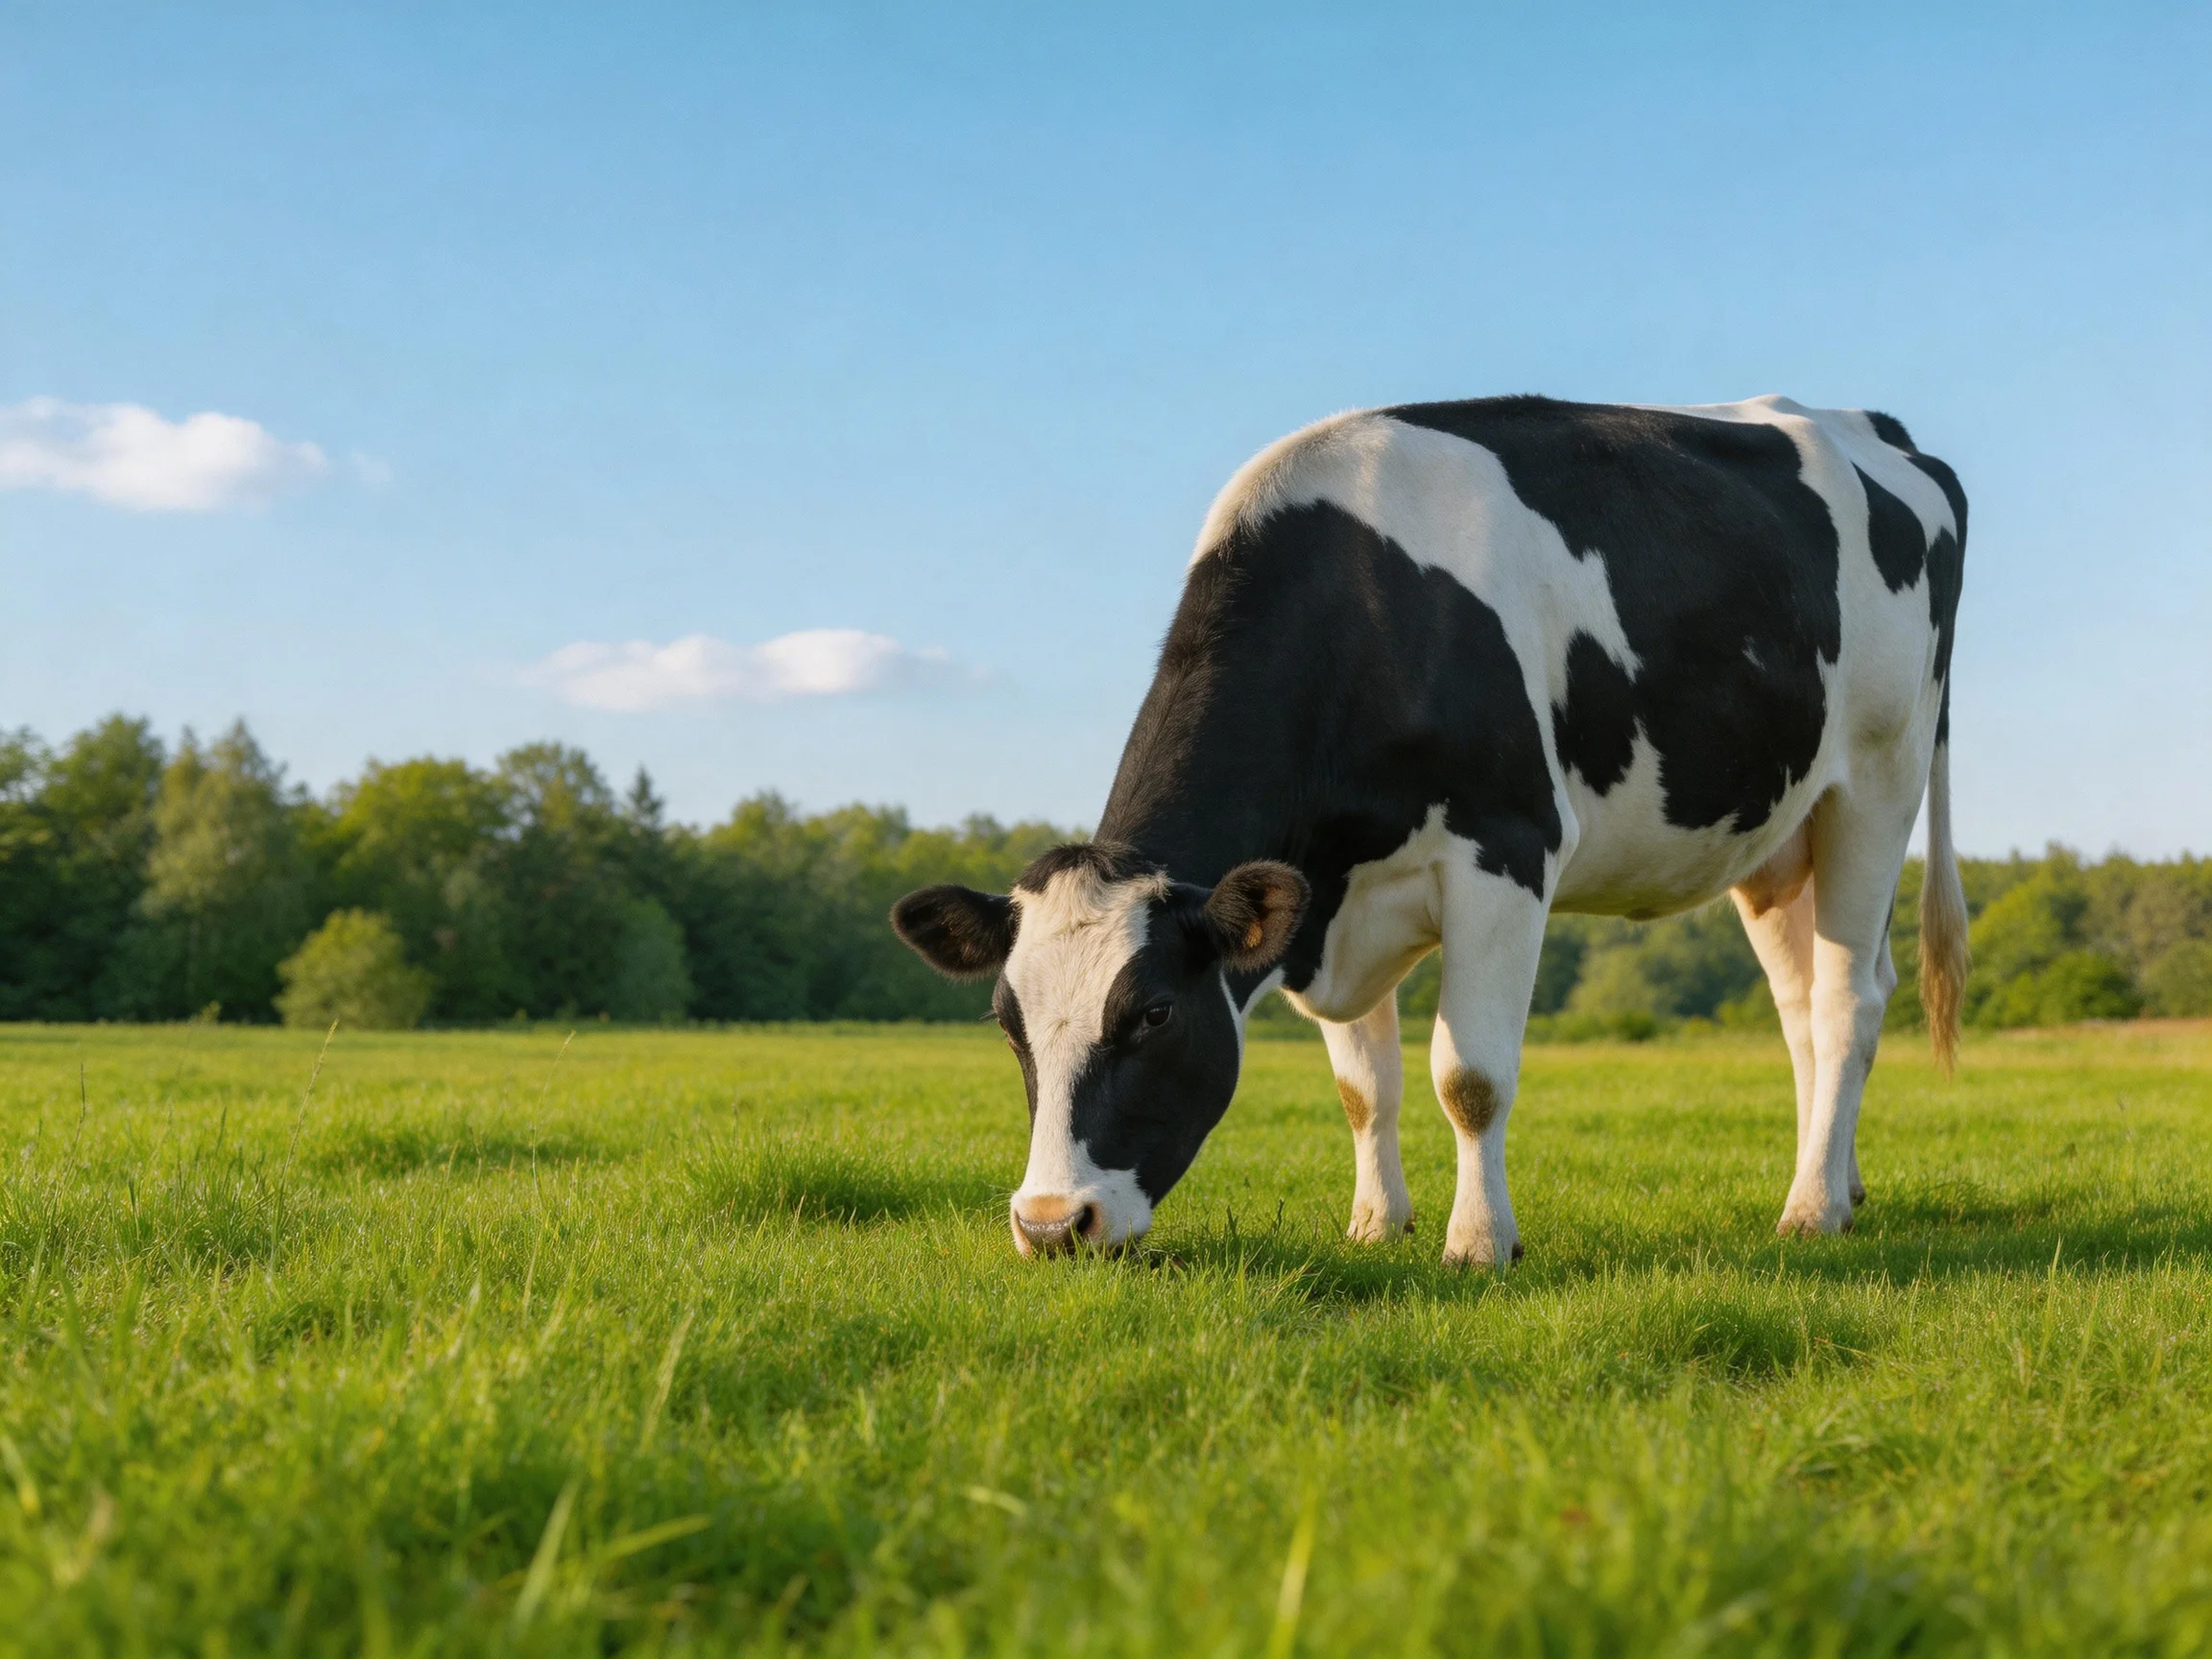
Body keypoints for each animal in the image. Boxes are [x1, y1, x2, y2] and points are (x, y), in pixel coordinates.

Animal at [893, 394, 1969, 1266]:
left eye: (1155, 1012)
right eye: (1007, 1022)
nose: (1049, 1223)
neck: (1367, 606)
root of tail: (1873, 426)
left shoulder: (1506, 850)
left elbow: (1471, 1077)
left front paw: (1480, 1243)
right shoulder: (1325, 893)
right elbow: (1365, 1087)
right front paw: (1376, 1226)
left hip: (1878, 780)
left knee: (1848, 1001)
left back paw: (1812, 1211)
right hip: (1778, 836)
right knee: (1803, 1007)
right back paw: (1837, 1182)